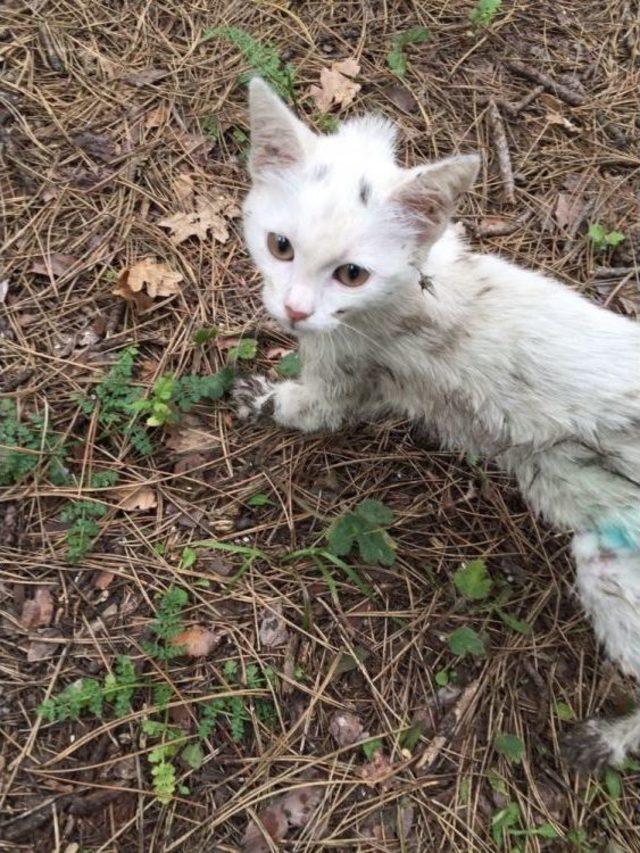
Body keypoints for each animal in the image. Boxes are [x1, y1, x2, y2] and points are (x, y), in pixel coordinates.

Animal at [235, 80, 640, 772]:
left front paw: (261, 399)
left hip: (611, 569)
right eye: (279, 245)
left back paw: (606, 740)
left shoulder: (339, 376)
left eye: (352, 273)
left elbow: (307, 408)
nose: (294, 310)